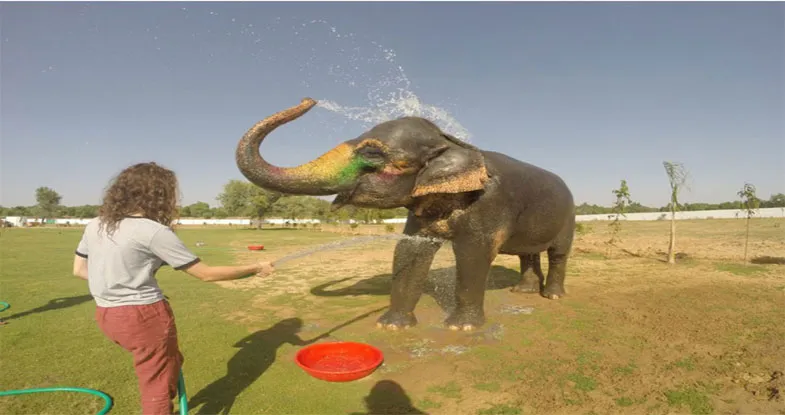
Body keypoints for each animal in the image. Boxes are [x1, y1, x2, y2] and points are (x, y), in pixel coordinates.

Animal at [235, 98, 576, 331]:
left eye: (372, 153)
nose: (309, 100)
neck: (450, 143)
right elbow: (409, 250)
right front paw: (391, 325)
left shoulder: (488, 203)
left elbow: (473, 254)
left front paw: (461, 328)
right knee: (527, 253)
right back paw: (524, 291)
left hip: (569, 215)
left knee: (558, 253)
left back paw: (553, 297)